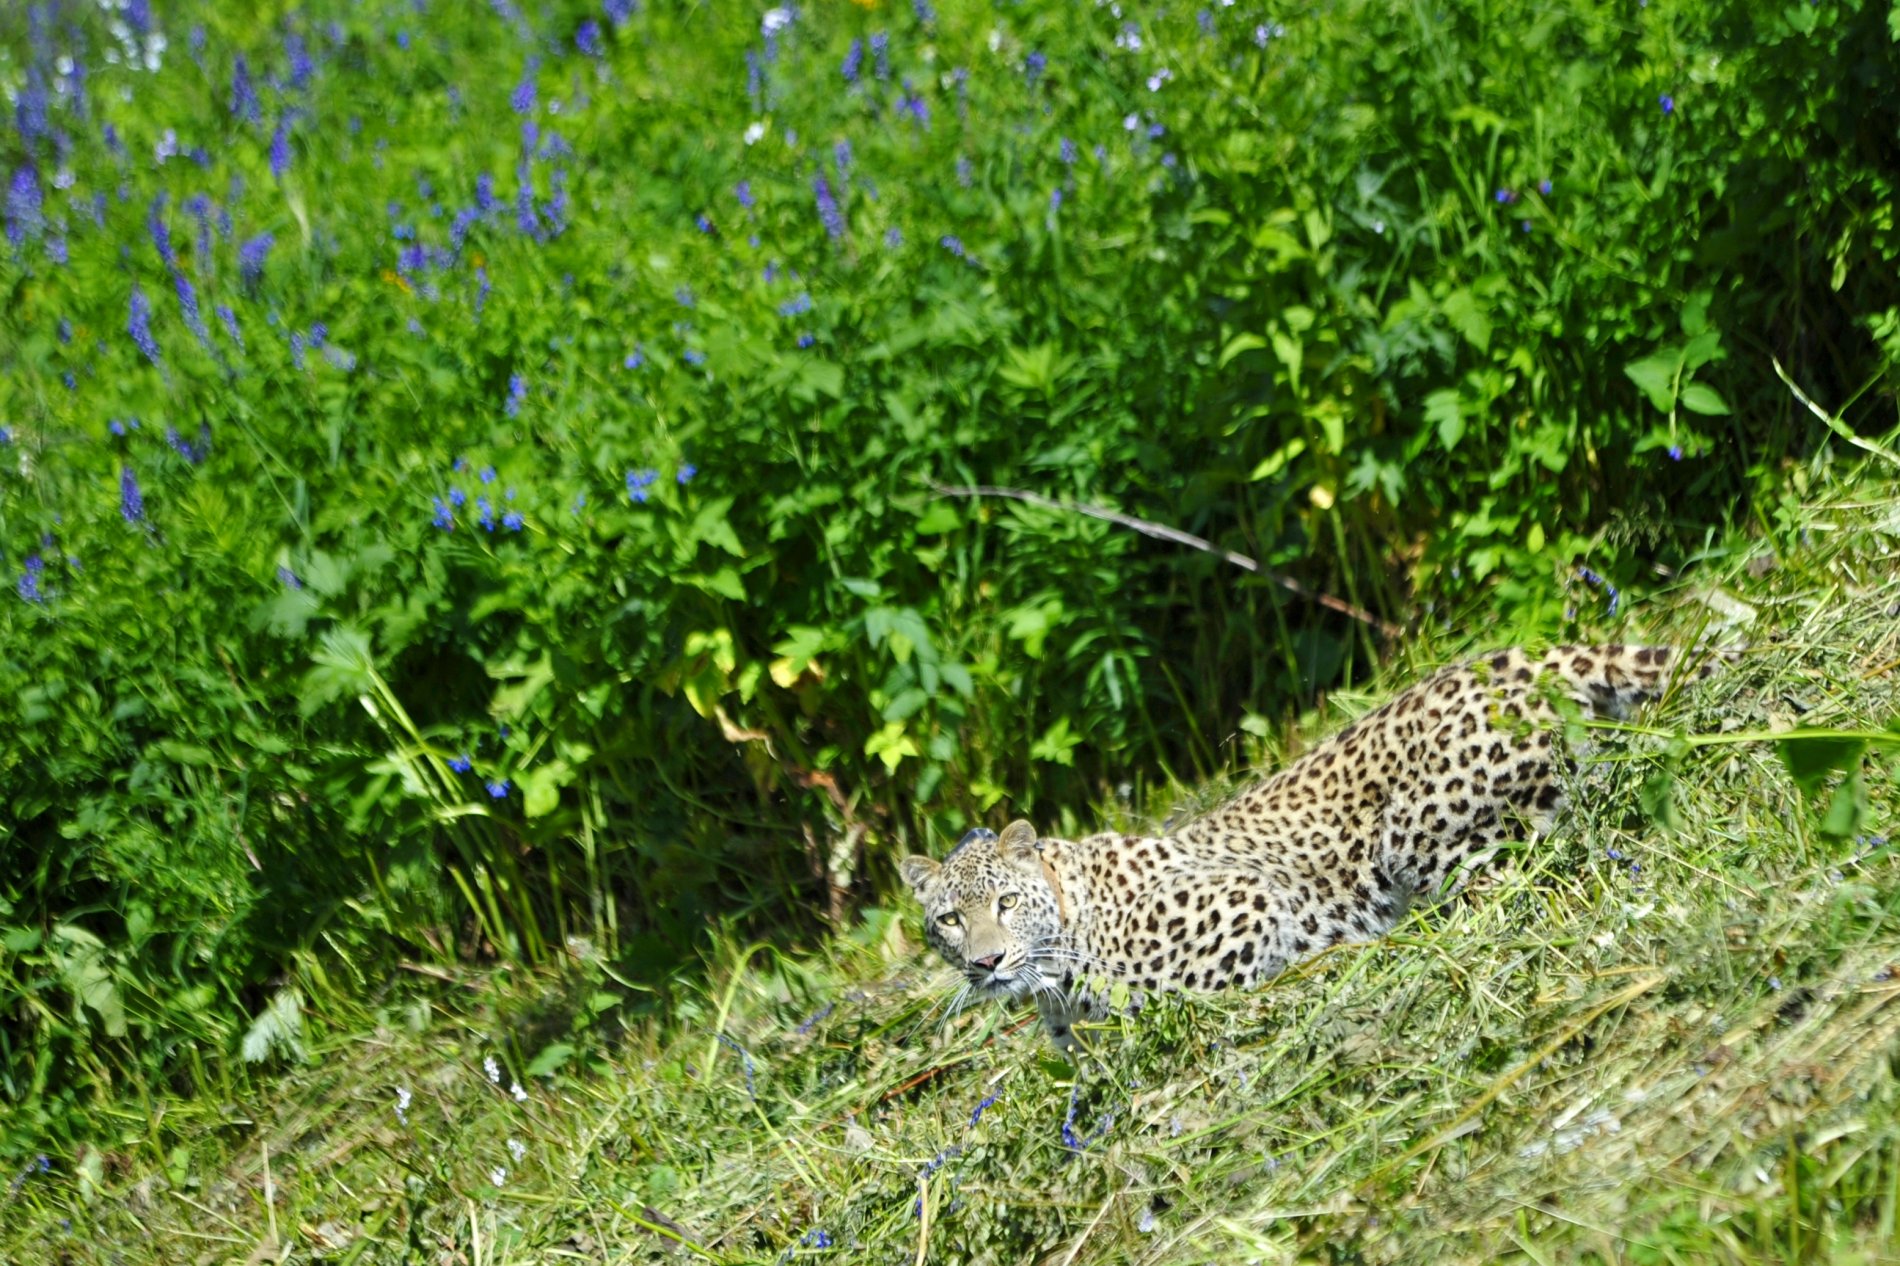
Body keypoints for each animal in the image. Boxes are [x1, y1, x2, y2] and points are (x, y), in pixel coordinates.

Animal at [904, 642, 1740, 1041]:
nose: (987, 962)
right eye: (949, 920)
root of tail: (1518, 654)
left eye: (1006, 904)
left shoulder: (1247, 906)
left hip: (1423, 836)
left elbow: (1196, 991)